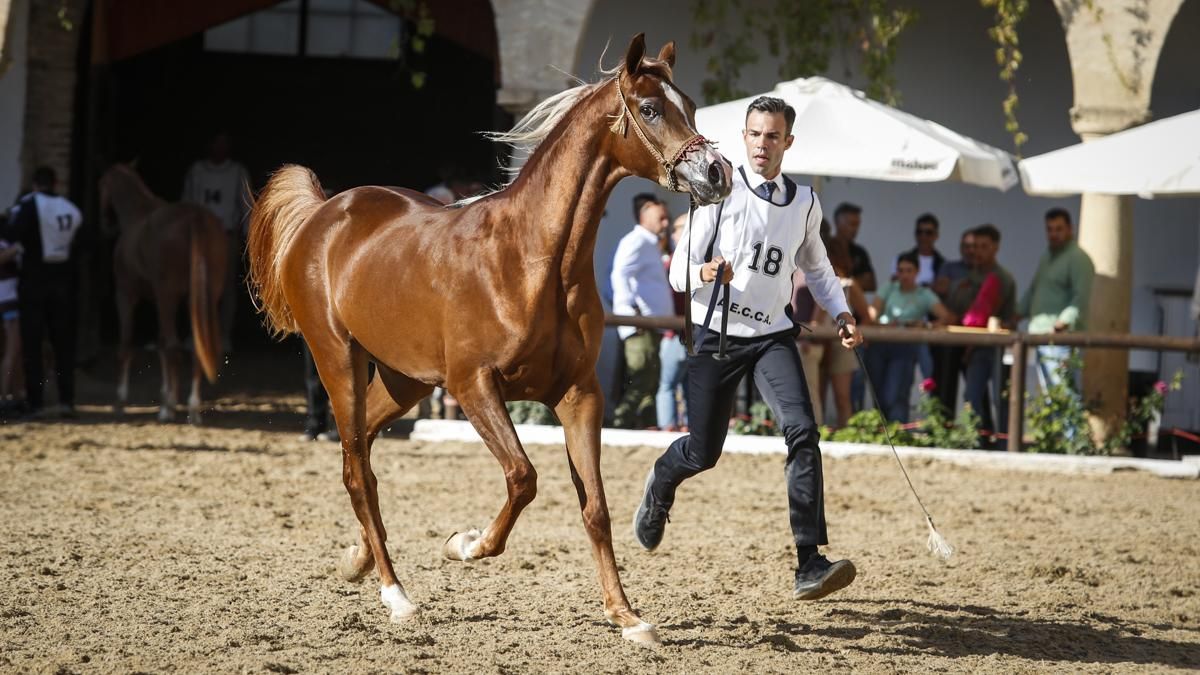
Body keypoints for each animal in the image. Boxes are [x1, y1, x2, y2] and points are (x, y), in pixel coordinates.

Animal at [98, 164, 226, 425]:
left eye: (101, 185)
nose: (105, 224)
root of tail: (195, 216)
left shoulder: (126, 294)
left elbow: (127, 345)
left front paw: (121, 401)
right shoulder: (161, 300)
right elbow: (160, 344)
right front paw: (170, 397)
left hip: (168, 296)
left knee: (174, 346)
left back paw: (171, 409)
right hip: (205, 298)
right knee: (196, 347)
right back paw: (191, 407)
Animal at [246, 34, 732, 644]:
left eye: (688, 105)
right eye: (649, 109)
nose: (717, 173)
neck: (532, 260)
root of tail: (323, 213)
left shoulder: (580, 394)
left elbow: (595, 507)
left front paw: (627, 617)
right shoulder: (473, 386)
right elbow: (523, 478)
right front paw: (465, 544)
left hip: (404, 382)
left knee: (362, 451)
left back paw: (357, 560)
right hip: (339, 362)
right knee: (359, 470)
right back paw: (396, 594)